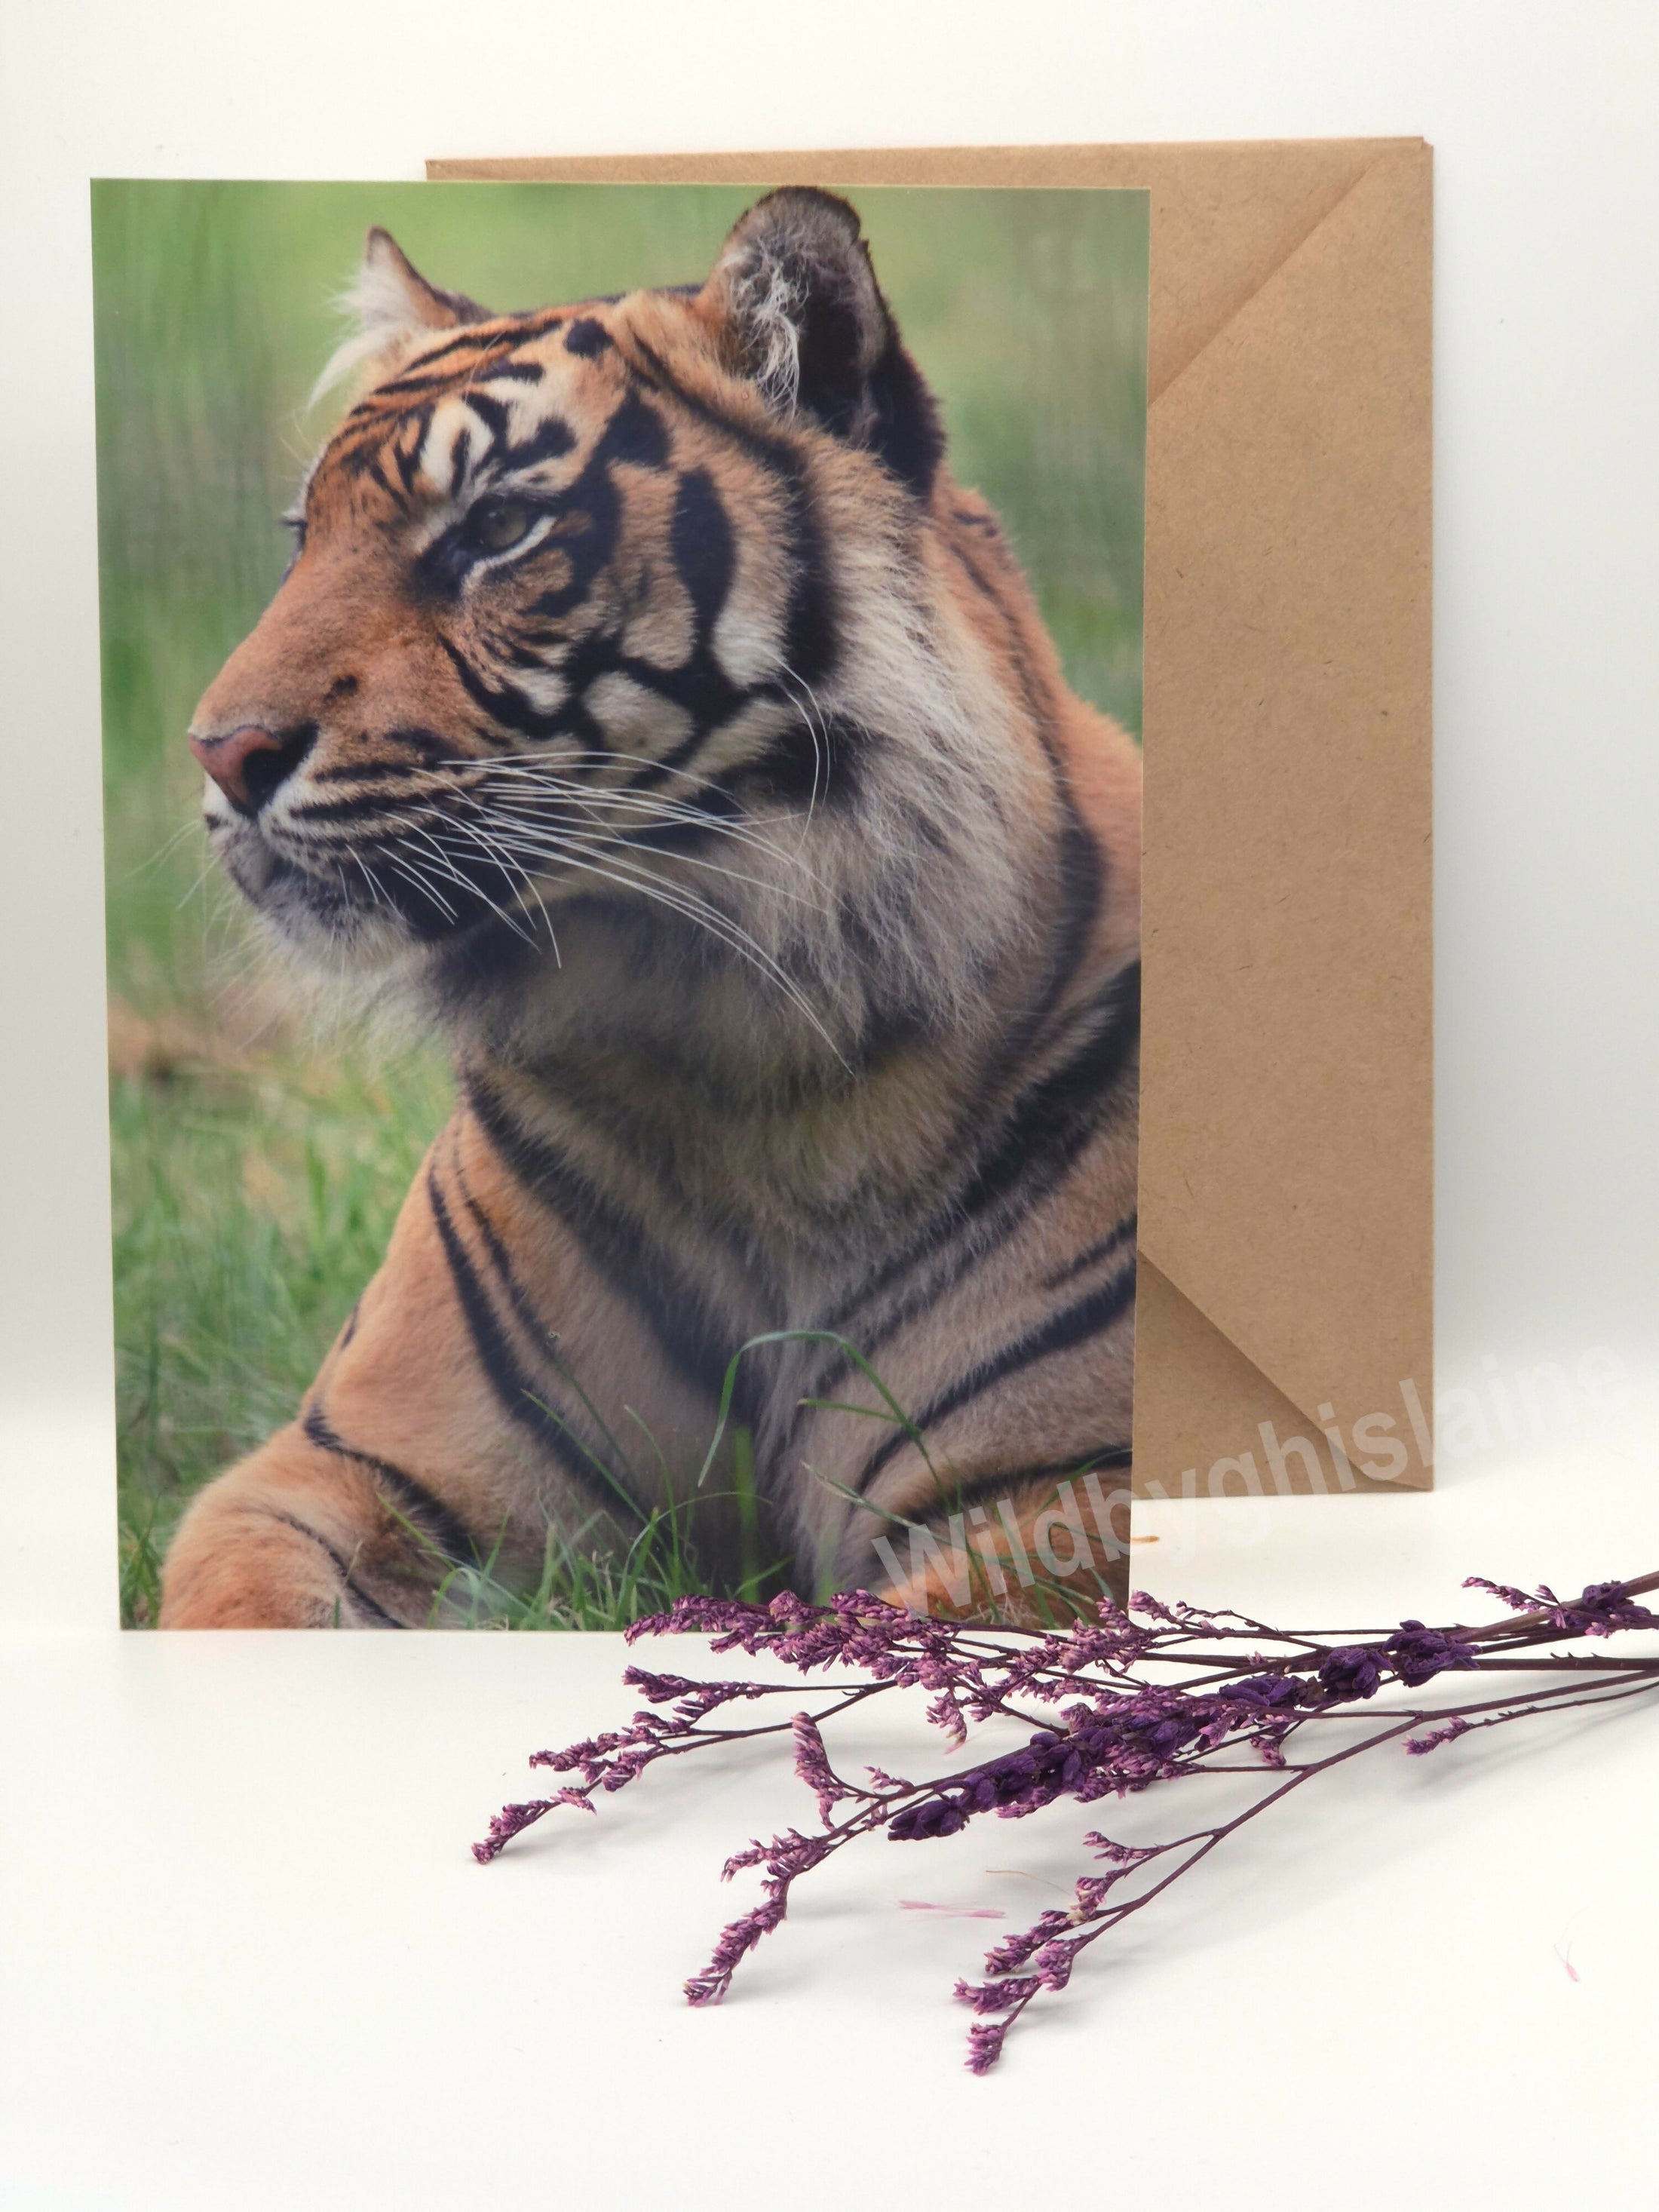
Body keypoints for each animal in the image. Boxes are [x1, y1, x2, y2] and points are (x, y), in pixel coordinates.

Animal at [156, 187, 1142, 1630]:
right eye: (303, 540)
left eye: (495, 532)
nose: (221, 753)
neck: (746, 1065)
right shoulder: (343, 1468)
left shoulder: (1067, 1494)